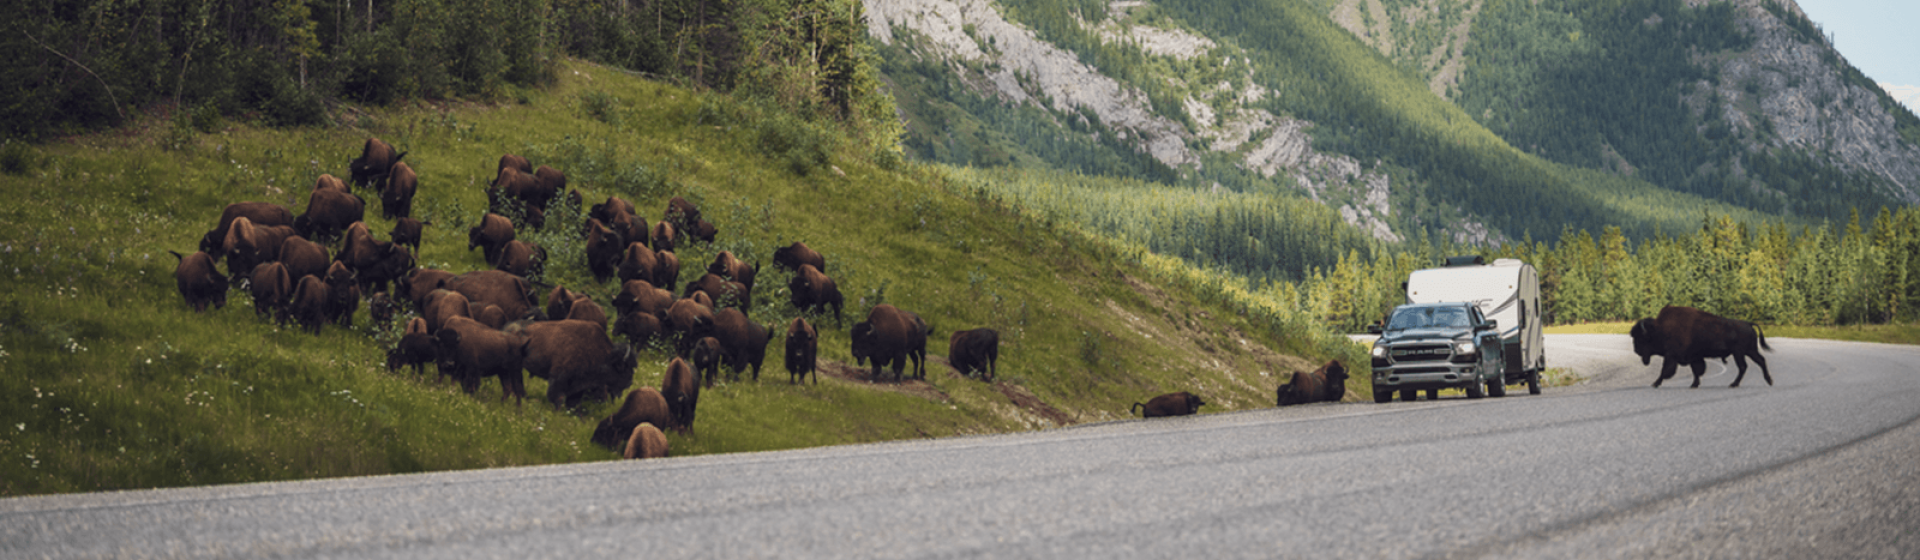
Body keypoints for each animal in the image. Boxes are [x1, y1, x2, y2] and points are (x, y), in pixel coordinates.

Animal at [1631, 306, 1774, 388]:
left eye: (1641, 338)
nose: (1636, 351)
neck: (1659, 329)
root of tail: (1748, 324)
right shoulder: (1693, 357)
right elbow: (1697, 370)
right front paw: (1694, 384)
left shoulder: (1671, 356)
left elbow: (1665, 371)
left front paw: (1655, 383)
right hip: (1749, 351)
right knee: (1760, 361)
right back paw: (1768, 381)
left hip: (1739, 353)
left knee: (1744, 367)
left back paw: (1734, 384)